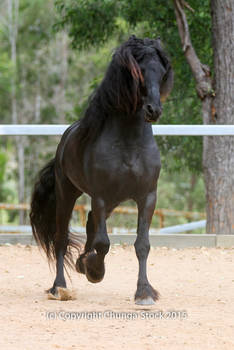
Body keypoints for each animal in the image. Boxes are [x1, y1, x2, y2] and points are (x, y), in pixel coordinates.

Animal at [29, 34, 173, 304]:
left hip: (115, 200)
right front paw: (95, 271)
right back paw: (59, 287)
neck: (129, 144)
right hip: (68, 194)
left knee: (90, 223)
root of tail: (65, 139)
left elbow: (142, 244)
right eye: (138, 73)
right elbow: (103, 243)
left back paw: (81, 262)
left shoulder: (147, 197)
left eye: (161, 73)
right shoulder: (101, 197)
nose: (153, 110)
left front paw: (144, 292)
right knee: (62, 238)